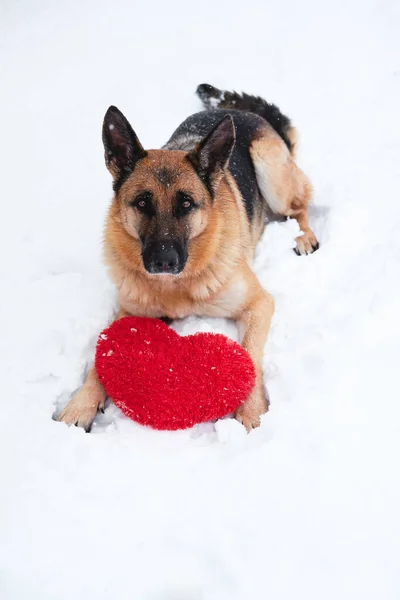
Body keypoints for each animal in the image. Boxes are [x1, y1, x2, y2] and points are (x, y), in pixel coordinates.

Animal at [57, 83, 318, 432]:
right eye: (142, 203)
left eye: (186, 204)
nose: (163, 262)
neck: (176, 288)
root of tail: (240, 112)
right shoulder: (129, 314)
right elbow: (103, 356)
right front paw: (81, 405)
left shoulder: (259, 303)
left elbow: (249, 353)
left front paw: (250, 411)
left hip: (271, 171)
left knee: (300, 208)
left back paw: (304, 236)